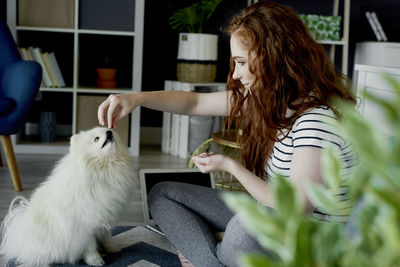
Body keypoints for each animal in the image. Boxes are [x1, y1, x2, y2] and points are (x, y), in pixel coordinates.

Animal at [0, 127, 138, 266]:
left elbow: (107, 237)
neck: (104, 169)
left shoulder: (105, 216)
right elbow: (90, 246)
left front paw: (112, 248)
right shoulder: (84, 226)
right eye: (96, 139)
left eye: (110, 131)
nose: (109, 132)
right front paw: (95, 260)